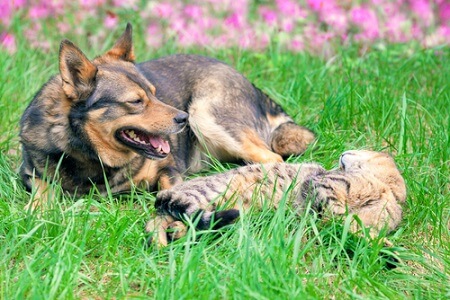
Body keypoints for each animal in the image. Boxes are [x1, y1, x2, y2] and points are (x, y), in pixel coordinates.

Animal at [19, 23, 316, 209]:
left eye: (154, 93)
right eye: (136, 101)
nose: (182, 119)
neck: (95, 159)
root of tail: (252, 85)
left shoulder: (169, 168)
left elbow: (166, 189)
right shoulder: (30, 174)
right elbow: (41, 194)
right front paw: (37, 213)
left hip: (207, 116)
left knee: (272, 158)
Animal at [146, 150, 406, 246]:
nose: (343, 152)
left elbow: (358, 228)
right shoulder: (320, 184)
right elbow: (337, 214)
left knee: (163, 220)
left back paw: (171, 235)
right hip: (208, 195)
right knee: (160, 218)